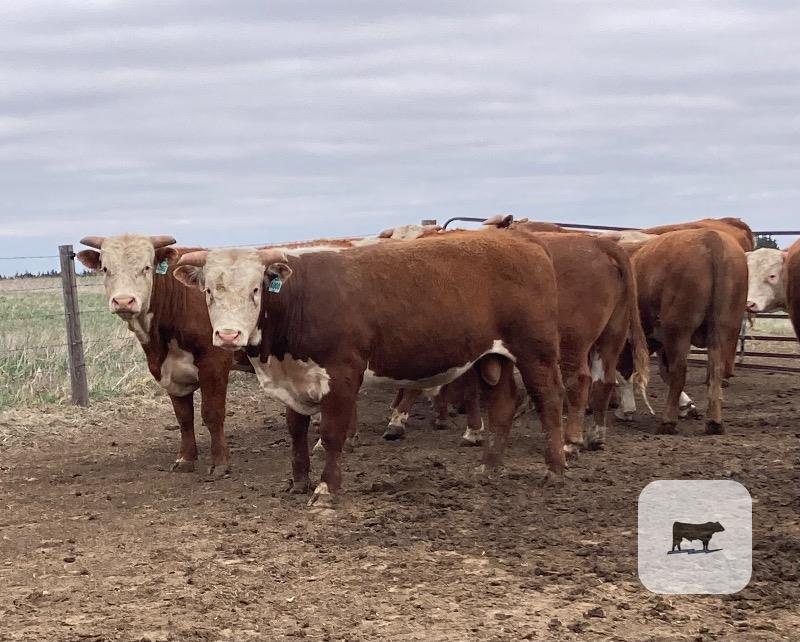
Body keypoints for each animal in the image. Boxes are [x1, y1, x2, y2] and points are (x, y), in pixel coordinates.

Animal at [173, 231, 567, 505]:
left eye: (256, 289)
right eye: (208, 291)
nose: (228, 335)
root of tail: (522, 239)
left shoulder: (342, 373)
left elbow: (332, 433)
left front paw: (326, 490)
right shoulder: (293, 379)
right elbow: (296, 431)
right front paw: (298, 482)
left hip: (536, 351)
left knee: (548, 401)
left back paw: (555, 469)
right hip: (491, 357)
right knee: (502, 404)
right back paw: (489, 466)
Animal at [616, 229, 748, 433]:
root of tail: (711, 238)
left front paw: (625, 410)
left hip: (678, 330)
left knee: (679, 371)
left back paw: (668, 421)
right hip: (726, 327)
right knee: (716, 369)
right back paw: (714, 422)